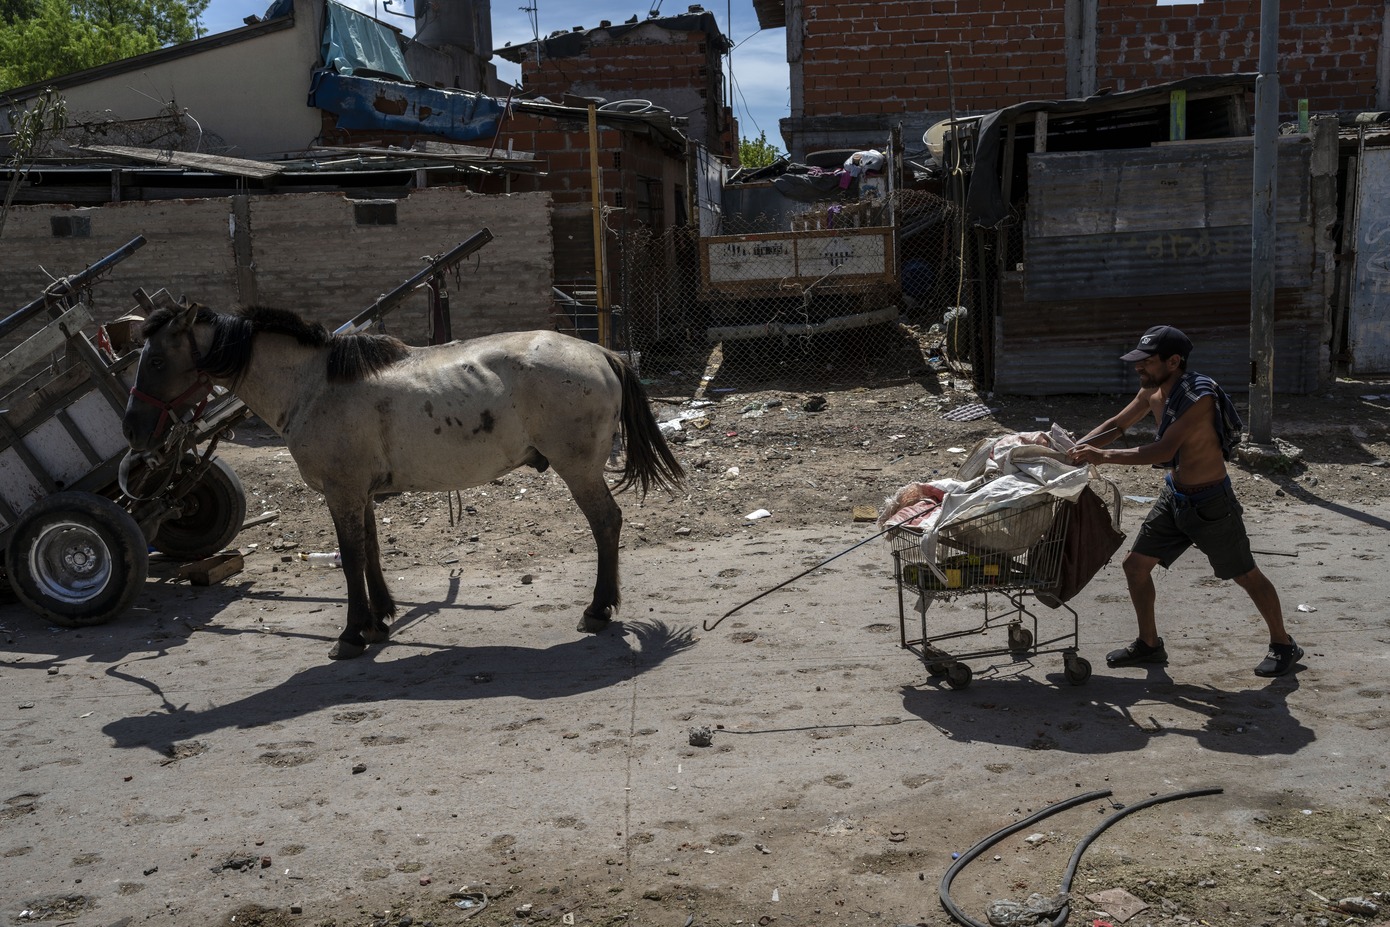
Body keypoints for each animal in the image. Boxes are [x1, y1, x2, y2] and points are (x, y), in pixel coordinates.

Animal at [125, 304, 683, 658]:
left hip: (579, 468)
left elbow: (351, 559)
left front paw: (352, 633)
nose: (132, 430)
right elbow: (370, 553)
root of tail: (600, 353)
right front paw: (377, 623)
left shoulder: (342, 493)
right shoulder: (361, 494)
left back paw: (598, 609)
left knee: (606, 523)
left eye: (157, 360)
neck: (312, 385)